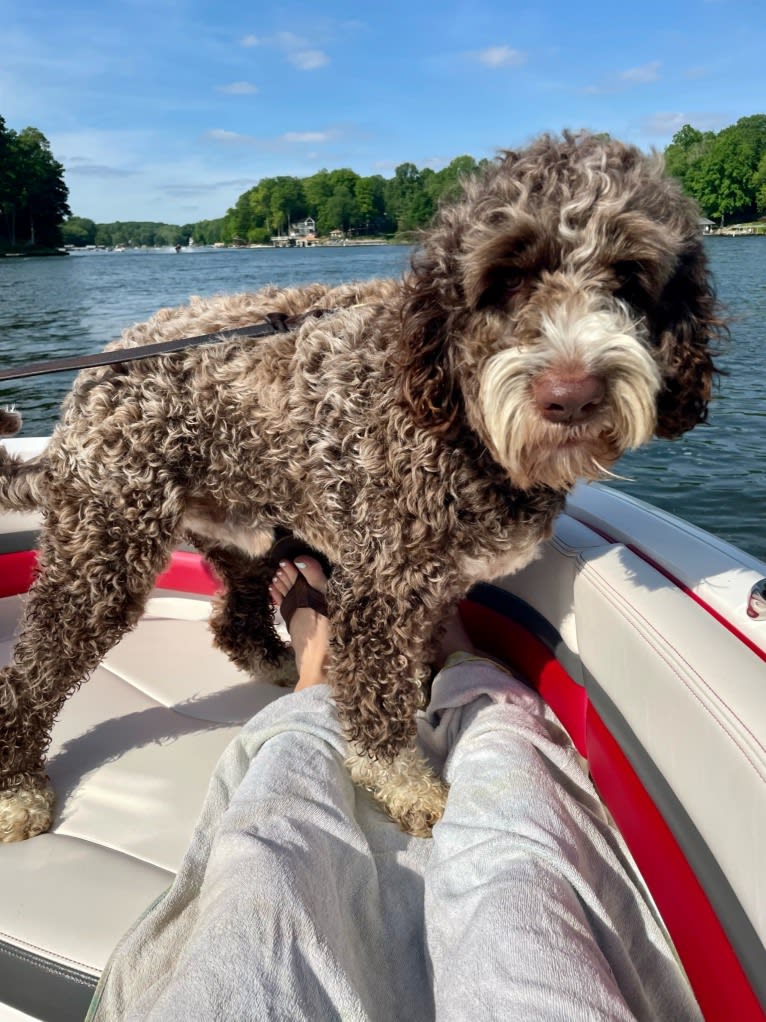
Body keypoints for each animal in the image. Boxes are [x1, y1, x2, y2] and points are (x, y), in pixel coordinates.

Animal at [0, 131, 723, 842]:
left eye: (630, 277)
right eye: (506, 278)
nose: (572, 395)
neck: (457, 418)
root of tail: (96, 374)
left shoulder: (434, 583)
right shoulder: (385, 589)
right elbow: (379, 697)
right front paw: (405, 782)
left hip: (244, 529)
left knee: (234, 618)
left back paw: (277, 661)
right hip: (104, 552)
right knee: (32, 671)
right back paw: (18, 786)